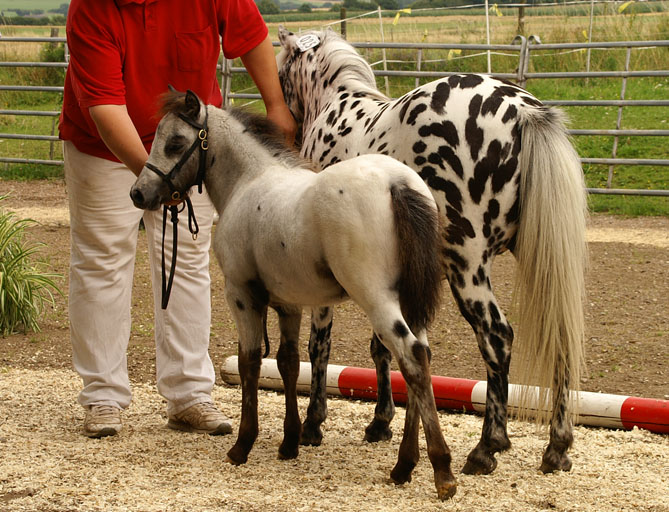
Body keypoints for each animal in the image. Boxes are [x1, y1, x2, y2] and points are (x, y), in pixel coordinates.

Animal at [274, 28, 588, 476]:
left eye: (281, 73)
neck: (339, 107)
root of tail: (522, 110)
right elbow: (384, 347)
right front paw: (381, 422)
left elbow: (321, 345)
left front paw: (314, 424)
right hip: (541, 263)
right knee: (560, 336)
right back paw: (557, 446)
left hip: (467, 265)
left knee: (497, 337)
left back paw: (487, 446)